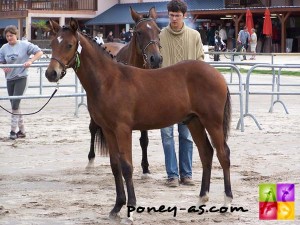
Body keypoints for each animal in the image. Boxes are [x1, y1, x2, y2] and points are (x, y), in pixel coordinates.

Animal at [86, 6, 162, 176]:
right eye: (139, 32)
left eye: (158, 31)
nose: (156, 59)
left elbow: (144, 140)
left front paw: (145, 167)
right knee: (93, 128)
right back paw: (90, 160)